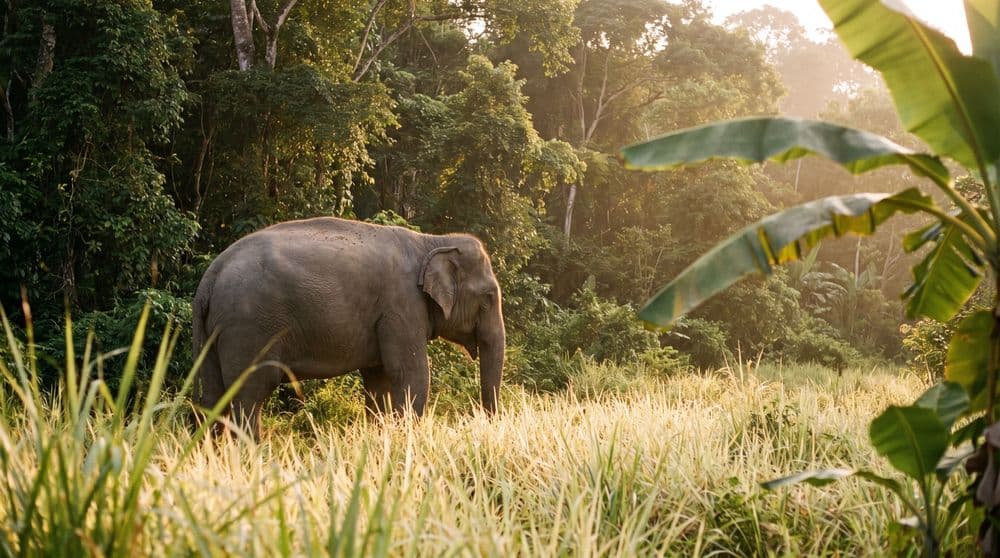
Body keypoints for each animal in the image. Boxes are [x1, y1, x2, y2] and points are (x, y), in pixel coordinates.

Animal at [191, 216, 505, 438]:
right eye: (489, 297)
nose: (487, 424)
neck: (431, 241)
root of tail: (211, 275)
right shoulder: (401, 305)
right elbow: (410, 375)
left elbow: (379, 381)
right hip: (249, 328)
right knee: (249, 395)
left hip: (215, 331)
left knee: (213, 396)